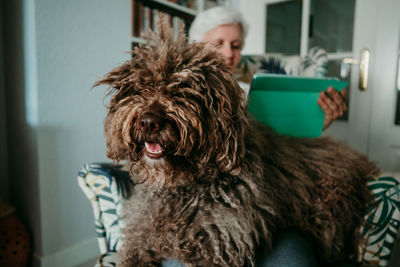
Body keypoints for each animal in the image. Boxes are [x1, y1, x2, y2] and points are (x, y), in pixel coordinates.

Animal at [94, 19, 378, 266]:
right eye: (140, 88)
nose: (149, 122)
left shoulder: (218, 246)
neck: (181, 188)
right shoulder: (141, 238)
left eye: (183, 90)